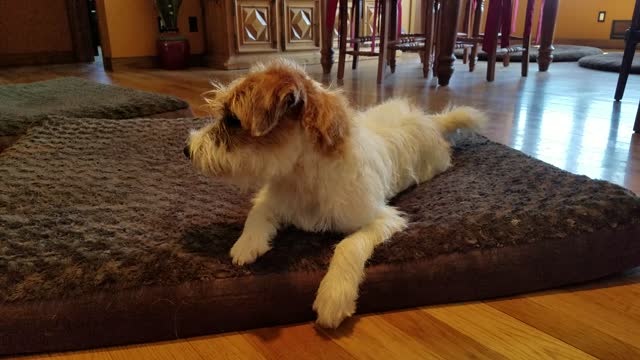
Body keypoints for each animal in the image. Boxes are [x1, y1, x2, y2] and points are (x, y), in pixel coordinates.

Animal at [184, 59, 484, 330]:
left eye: (233, 120)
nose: (187, 150)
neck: (302, 177)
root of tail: (430, 120)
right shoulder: (271, 198)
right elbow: (256, 214)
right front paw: (247, 244)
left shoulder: (381, 219)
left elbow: (348, 245)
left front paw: (334, 295)